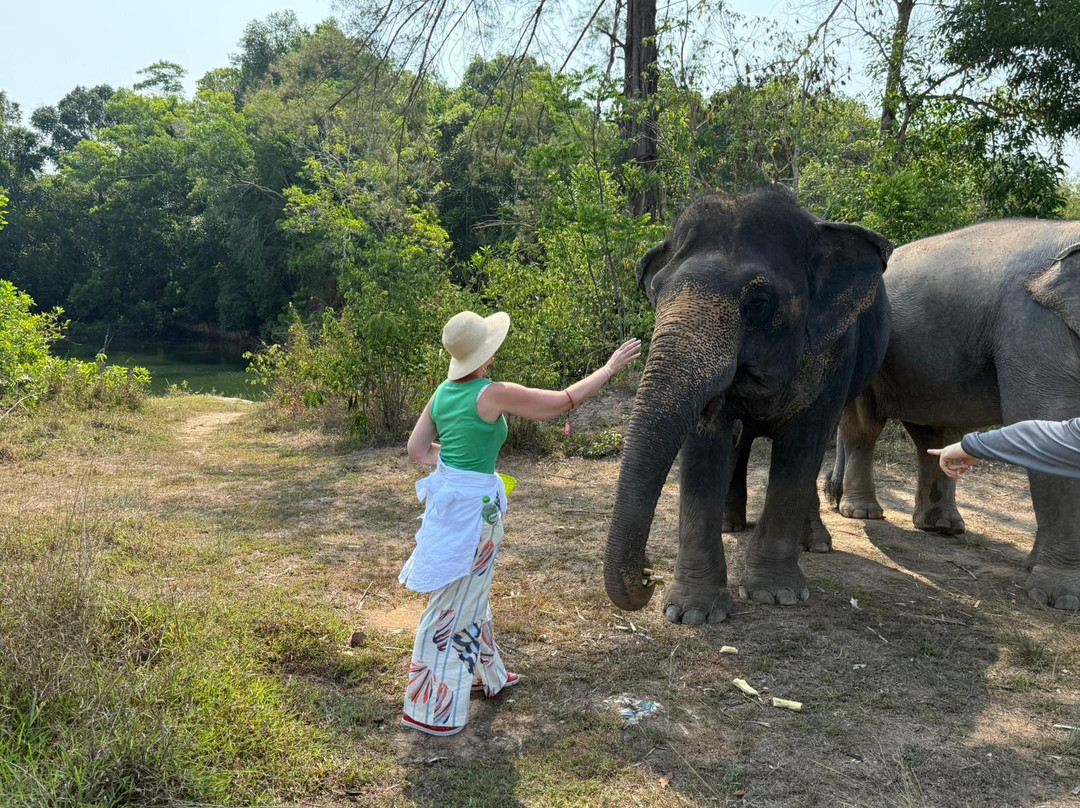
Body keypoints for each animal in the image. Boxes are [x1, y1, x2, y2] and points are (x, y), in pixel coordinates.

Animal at [602, 188, 893, 624]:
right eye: (656, 293)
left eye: (758, 301)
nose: (648, 574)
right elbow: (706, 442)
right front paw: (692, 613)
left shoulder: (838, 350)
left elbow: (803, 446)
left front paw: (778, 595)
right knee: (741, 442)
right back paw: (730, 525)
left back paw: (815, 543)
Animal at [821, 218, 1080, 610]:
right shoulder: (1035, 330)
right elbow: (1048, 423)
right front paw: (1061, 599)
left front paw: (1034, 568)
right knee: (864, 427)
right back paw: (862, 512)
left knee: (935, 433)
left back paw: (941, 526)